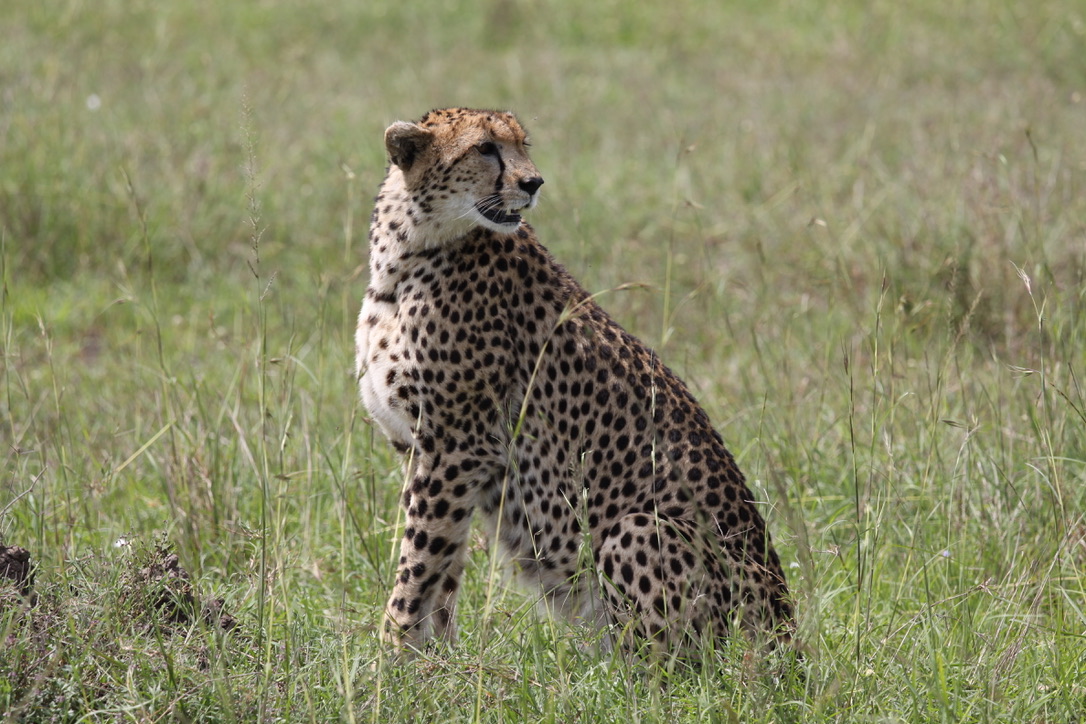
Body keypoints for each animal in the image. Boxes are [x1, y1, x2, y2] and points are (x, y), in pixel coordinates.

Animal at [355, 107, 793, 658]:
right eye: (485, 148)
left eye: (522, 145)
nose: (534, 182)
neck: (406, 252)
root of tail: (787, 637)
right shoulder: (430, 451)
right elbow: (442, 566)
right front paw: (436, 661)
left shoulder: (457, 445)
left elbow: (417, 564)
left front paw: (391, 657)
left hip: (636, 528)